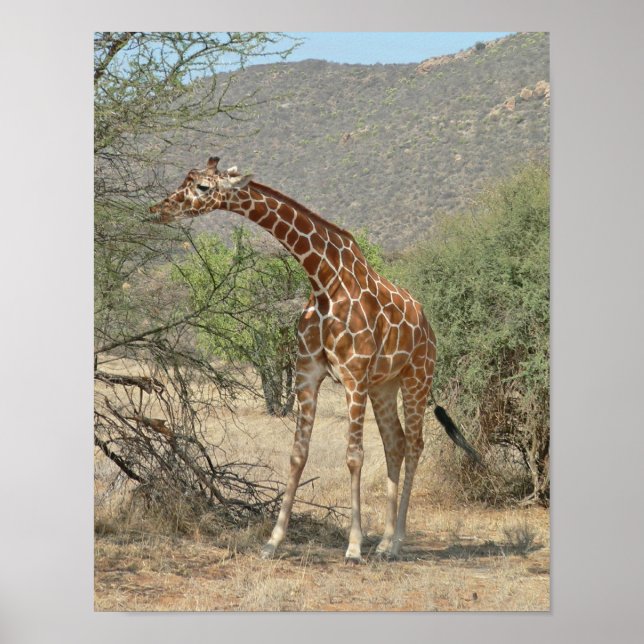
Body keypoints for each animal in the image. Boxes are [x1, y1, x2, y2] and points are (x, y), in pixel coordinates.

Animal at [150, 156, 480, 562]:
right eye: (187, 179)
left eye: (203, 187)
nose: (159, 209)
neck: (324, 280)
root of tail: (429, 325)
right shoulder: (308, 372)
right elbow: (297, 454)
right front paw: (273, 541)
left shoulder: (353, 375)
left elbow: (354, 456)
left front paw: (353, 546)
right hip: (384, 385)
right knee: (396, 444)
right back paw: (385, 542)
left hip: (417, 375)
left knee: (415, 444)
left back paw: (398, 542)